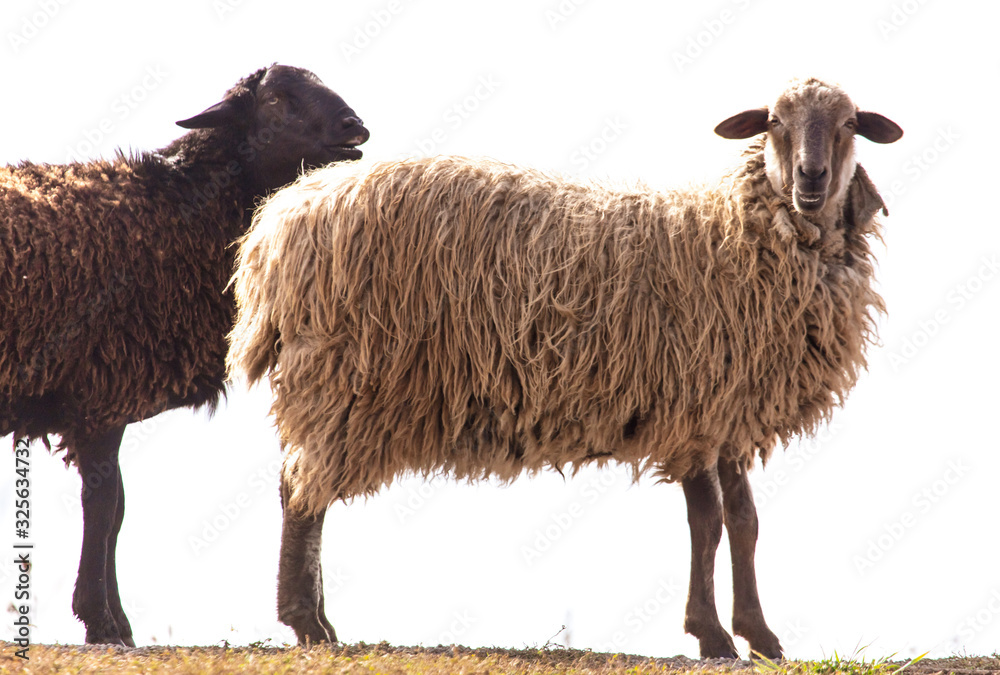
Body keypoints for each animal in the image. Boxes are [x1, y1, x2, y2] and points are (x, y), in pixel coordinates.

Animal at [0, 64, 369, 646]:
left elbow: (118, 509)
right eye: (277, 99)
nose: (356, 127)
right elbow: (105, 506)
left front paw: (116, 622)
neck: (178, 214)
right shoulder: (101, 390)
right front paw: (102, 621)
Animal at [227, 77, 901, 659]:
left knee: (301, 488)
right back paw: (307, 622)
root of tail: (276, 226)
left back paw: (315, 618)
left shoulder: (728, 408)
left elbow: (744, 521)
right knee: (301, 493)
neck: (739, 234)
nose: (811, 178)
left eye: (849, 124)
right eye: (774, 122)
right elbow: (706, 522)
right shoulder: (690, 406)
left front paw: (758, 635)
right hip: (342, 375)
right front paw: (711, 635)